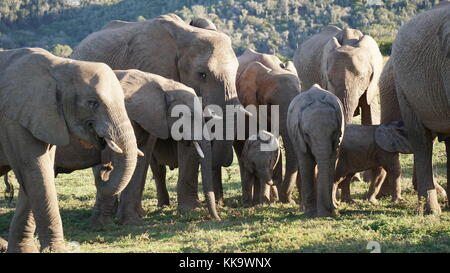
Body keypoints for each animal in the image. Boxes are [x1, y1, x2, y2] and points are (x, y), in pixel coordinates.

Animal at [0, 47, 139, 252]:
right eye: (92, 103)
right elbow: (34, 172)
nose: (106, 168)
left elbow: (41, 172)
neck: (59, 68)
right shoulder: (13, 120)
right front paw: (57, 250)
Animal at [288, 84, 344, 216]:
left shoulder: (337, 139)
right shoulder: (299, 137)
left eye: (334, 132)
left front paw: (328, 211)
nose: (329, 211)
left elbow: (330, 164)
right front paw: (310, 213)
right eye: (307, 134)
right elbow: (307, 162)